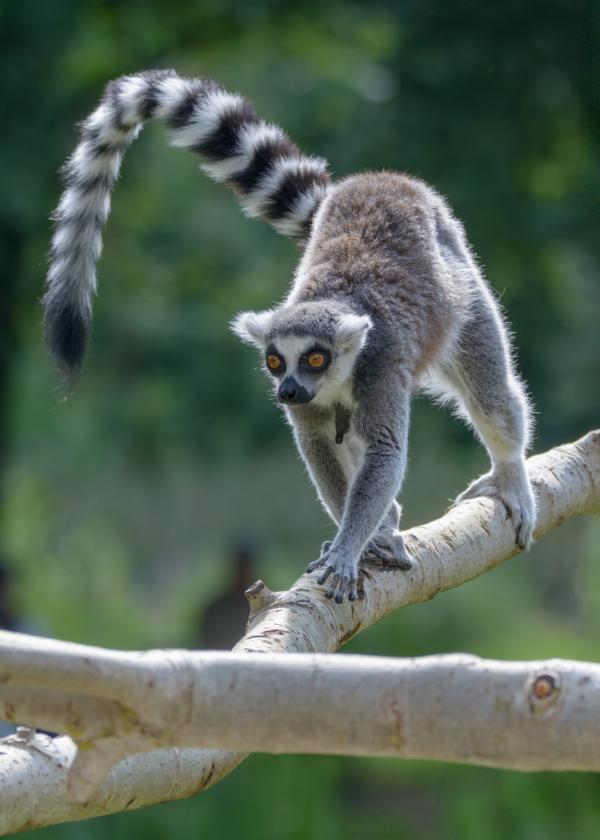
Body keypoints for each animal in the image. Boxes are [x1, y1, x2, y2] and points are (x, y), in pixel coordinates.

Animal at [44, 70, 536, 603]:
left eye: (315, 359)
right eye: (275, 361)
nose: (289, 392)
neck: (340, 374)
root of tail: (380, 178)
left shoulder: (380, 367)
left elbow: (384, 450)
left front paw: (349, 548)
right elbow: (320, 448)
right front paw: (366, 538)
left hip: (465, 295)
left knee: (490, 394)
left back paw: (510, 475)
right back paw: (389, 520)